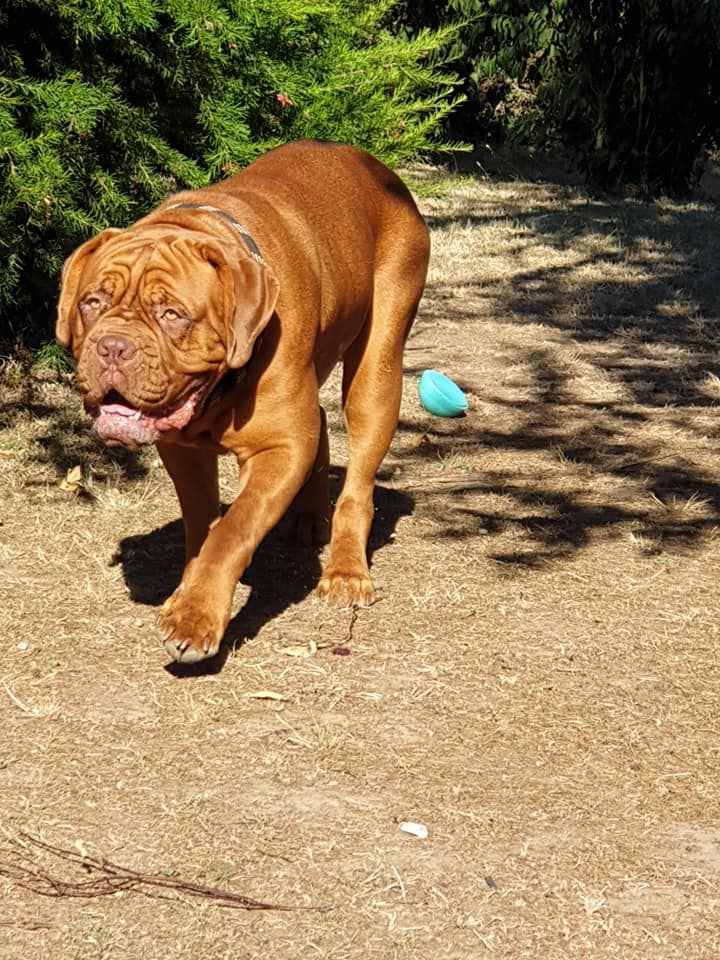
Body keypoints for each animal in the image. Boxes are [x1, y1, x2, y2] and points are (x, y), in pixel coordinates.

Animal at [57, 141, 428, 660]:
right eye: (92, 302)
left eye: (172, 314)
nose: (113, 347)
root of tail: (380, 170)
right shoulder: (183, 450)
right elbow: (202, 525)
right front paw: (188, 591)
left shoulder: (281, 448)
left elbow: (233, 531)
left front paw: (195, 618)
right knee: (318, 421)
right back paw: (310, 518)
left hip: (377, 370)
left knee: (358, 481)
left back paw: (346, 571)